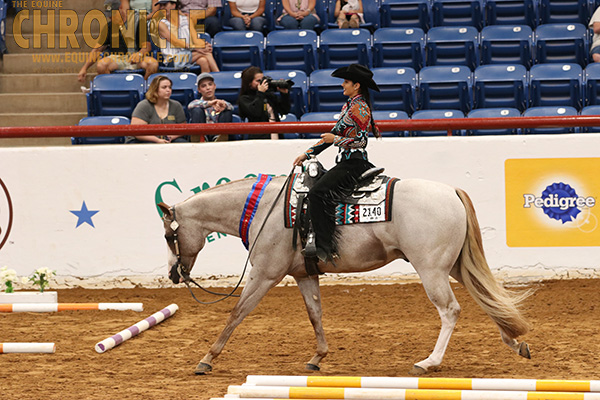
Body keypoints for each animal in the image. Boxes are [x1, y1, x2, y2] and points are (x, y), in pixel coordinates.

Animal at [158, 173, 528, 374]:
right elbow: (315, 314)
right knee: (486, 297)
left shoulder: (264, 275)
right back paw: (514, 342)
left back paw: (429, 362)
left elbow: (236, 313)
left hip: (432, 269)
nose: (175, 274)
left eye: (167, 236)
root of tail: (451, 191)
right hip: (454, 265)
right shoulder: (304, 274)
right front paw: (317, 357)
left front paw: (206, 359)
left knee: (451, 310)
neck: (266, 210)